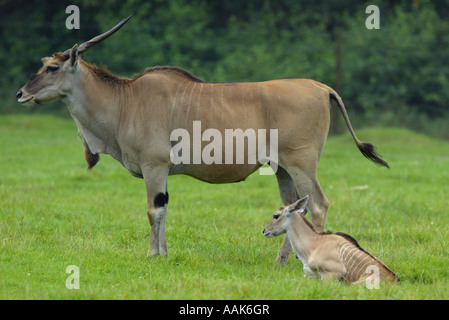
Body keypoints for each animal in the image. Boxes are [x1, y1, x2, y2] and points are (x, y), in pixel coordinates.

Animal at [16, 16, 388, 264]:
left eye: (52, 68)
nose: (20, 94)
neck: (125, 100)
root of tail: (321, 87)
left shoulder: (155, 167)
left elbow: (153, 211)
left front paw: (154, 255)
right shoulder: (162, 172)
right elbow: (164, 210)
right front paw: (164, 254)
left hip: (301, 164)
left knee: (319, 205)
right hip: (282, 168)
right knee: (294, 206)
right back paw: (281, 262)